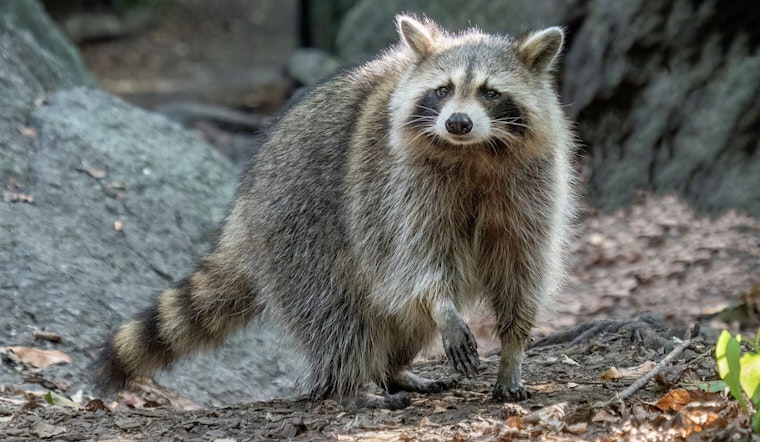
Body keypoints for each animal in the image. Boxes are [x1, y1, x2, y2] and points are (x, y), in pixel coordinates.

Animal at [94, 14, 576, 409]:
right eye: (442, 90)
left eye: (490, 92)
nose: (457, 122)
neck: (474, 152)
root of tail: (244, 211)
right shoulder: (398, 187)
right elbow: (417, 258)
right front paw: (443, 306)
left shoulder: (532, 187)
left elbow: (522, 266)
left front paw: (513, 349)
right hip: (299, 225)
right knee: (337, 311)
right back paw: (351, 384)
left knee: (399, 316)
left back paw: (394, 369)